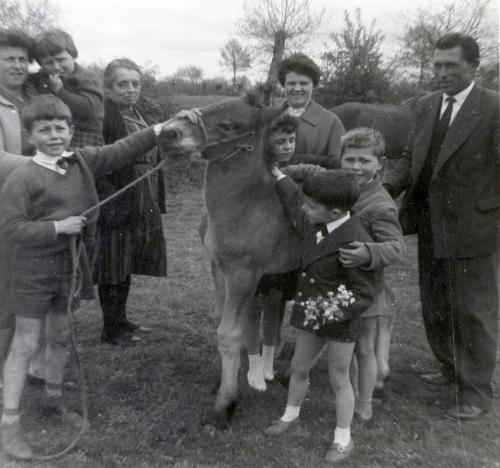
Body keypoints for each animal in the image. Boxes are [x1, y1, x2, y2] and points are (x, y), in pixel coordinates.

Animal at [160, 92, 300, 428]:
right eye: (208, 106)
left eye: (228, 125)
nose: (167, 134)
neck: (247, 209)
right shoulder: (219, 270)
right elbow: (221, 325)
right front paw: (225, 383)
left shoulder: (243, 275)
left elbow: (229, 334)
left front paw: (224, 406)